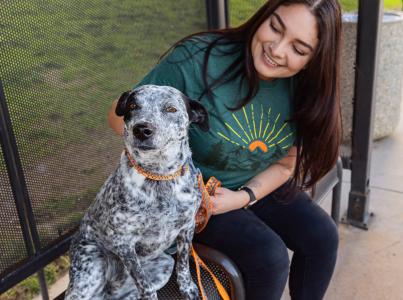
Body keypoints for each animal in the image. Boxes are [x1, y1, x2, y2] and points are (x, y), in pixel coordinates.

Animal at [64, 85, 210, 300]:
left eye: (171, 109)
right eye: (133, 105)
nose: (141, 129)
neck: (159, 176)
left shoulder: (187, 227)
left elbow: (183, 264)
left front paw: (188, 288)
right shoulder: (123, 243)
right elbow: (145, 285)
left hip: (164, 264)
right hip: (91, 268)